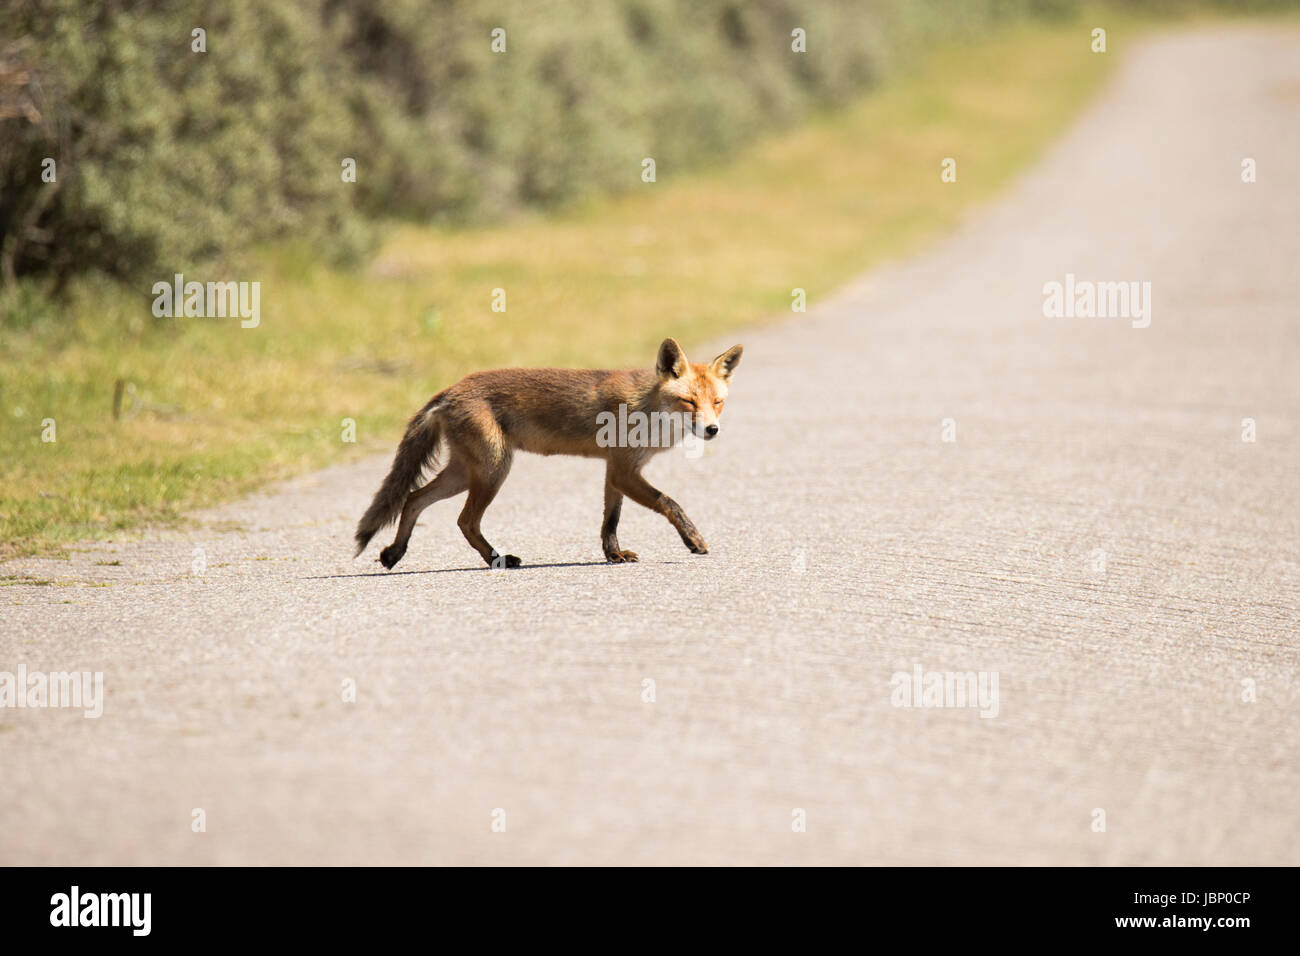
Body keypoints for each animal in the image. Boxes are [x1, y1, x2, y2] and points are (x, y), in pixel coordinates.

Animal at [354, 337, 743, 569]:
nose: (711, 430)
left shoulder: (615, 470)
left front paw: (613, 554)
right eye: (688, 401)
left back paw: (394, 553)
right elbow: (670, 503)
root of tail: (451, 388)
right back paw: (496, 559)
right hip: (494, 469)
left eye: (717, 402)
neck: (647, 407)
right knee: (464, 520)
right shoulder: (625, 471)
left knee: (413, 498)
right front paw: (693, 540)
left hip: (465, 472)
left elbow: (610, 520)